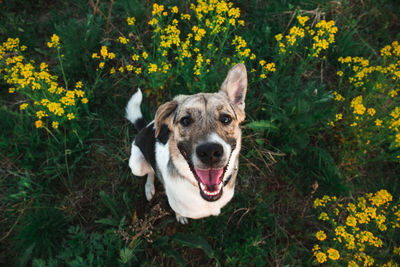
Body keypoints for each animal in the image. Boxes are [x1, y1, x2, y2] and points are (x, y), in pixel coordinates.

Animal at [128, 63, 247, 225]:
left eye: (226, 119)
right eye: (185, 120)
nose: (210, 152)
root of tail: (144, 127)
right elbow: (177, 210)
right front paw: (180, 216)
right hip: (136, 165)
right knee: (150, 171)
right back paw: (149, 187)